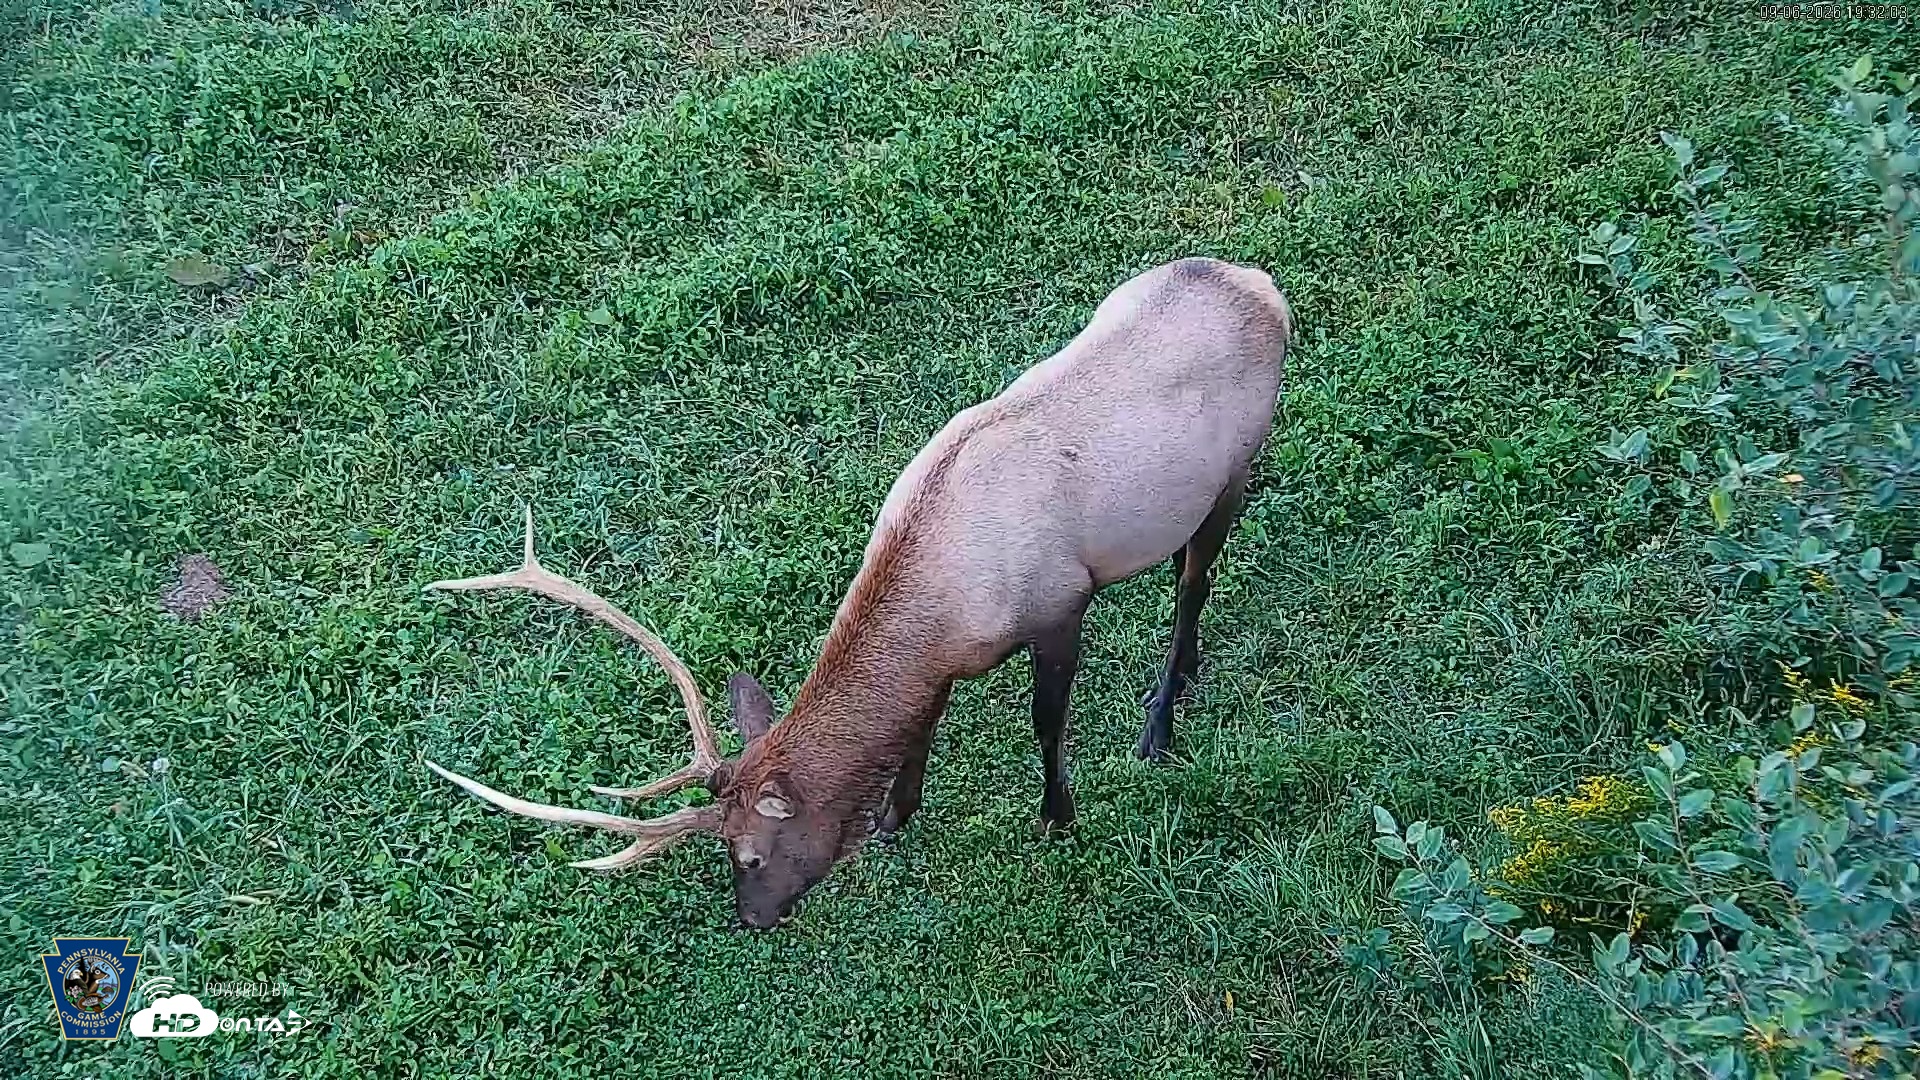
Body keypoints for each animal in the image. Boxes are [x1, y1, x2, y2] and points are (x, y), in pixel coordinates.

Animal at [423, 257, 1290, 928]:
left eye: (748, 853)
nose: (749, 920)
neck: (944, 608)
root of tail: (1265, 288)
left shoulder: (1060, 605)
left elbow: (1046, 725)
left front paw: (1057, 817)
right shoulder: (946, 667)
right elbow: (918, 728)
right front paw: (893, 818)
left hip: (1235, 468)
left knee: (1194, 581)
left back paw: (1161, 717)